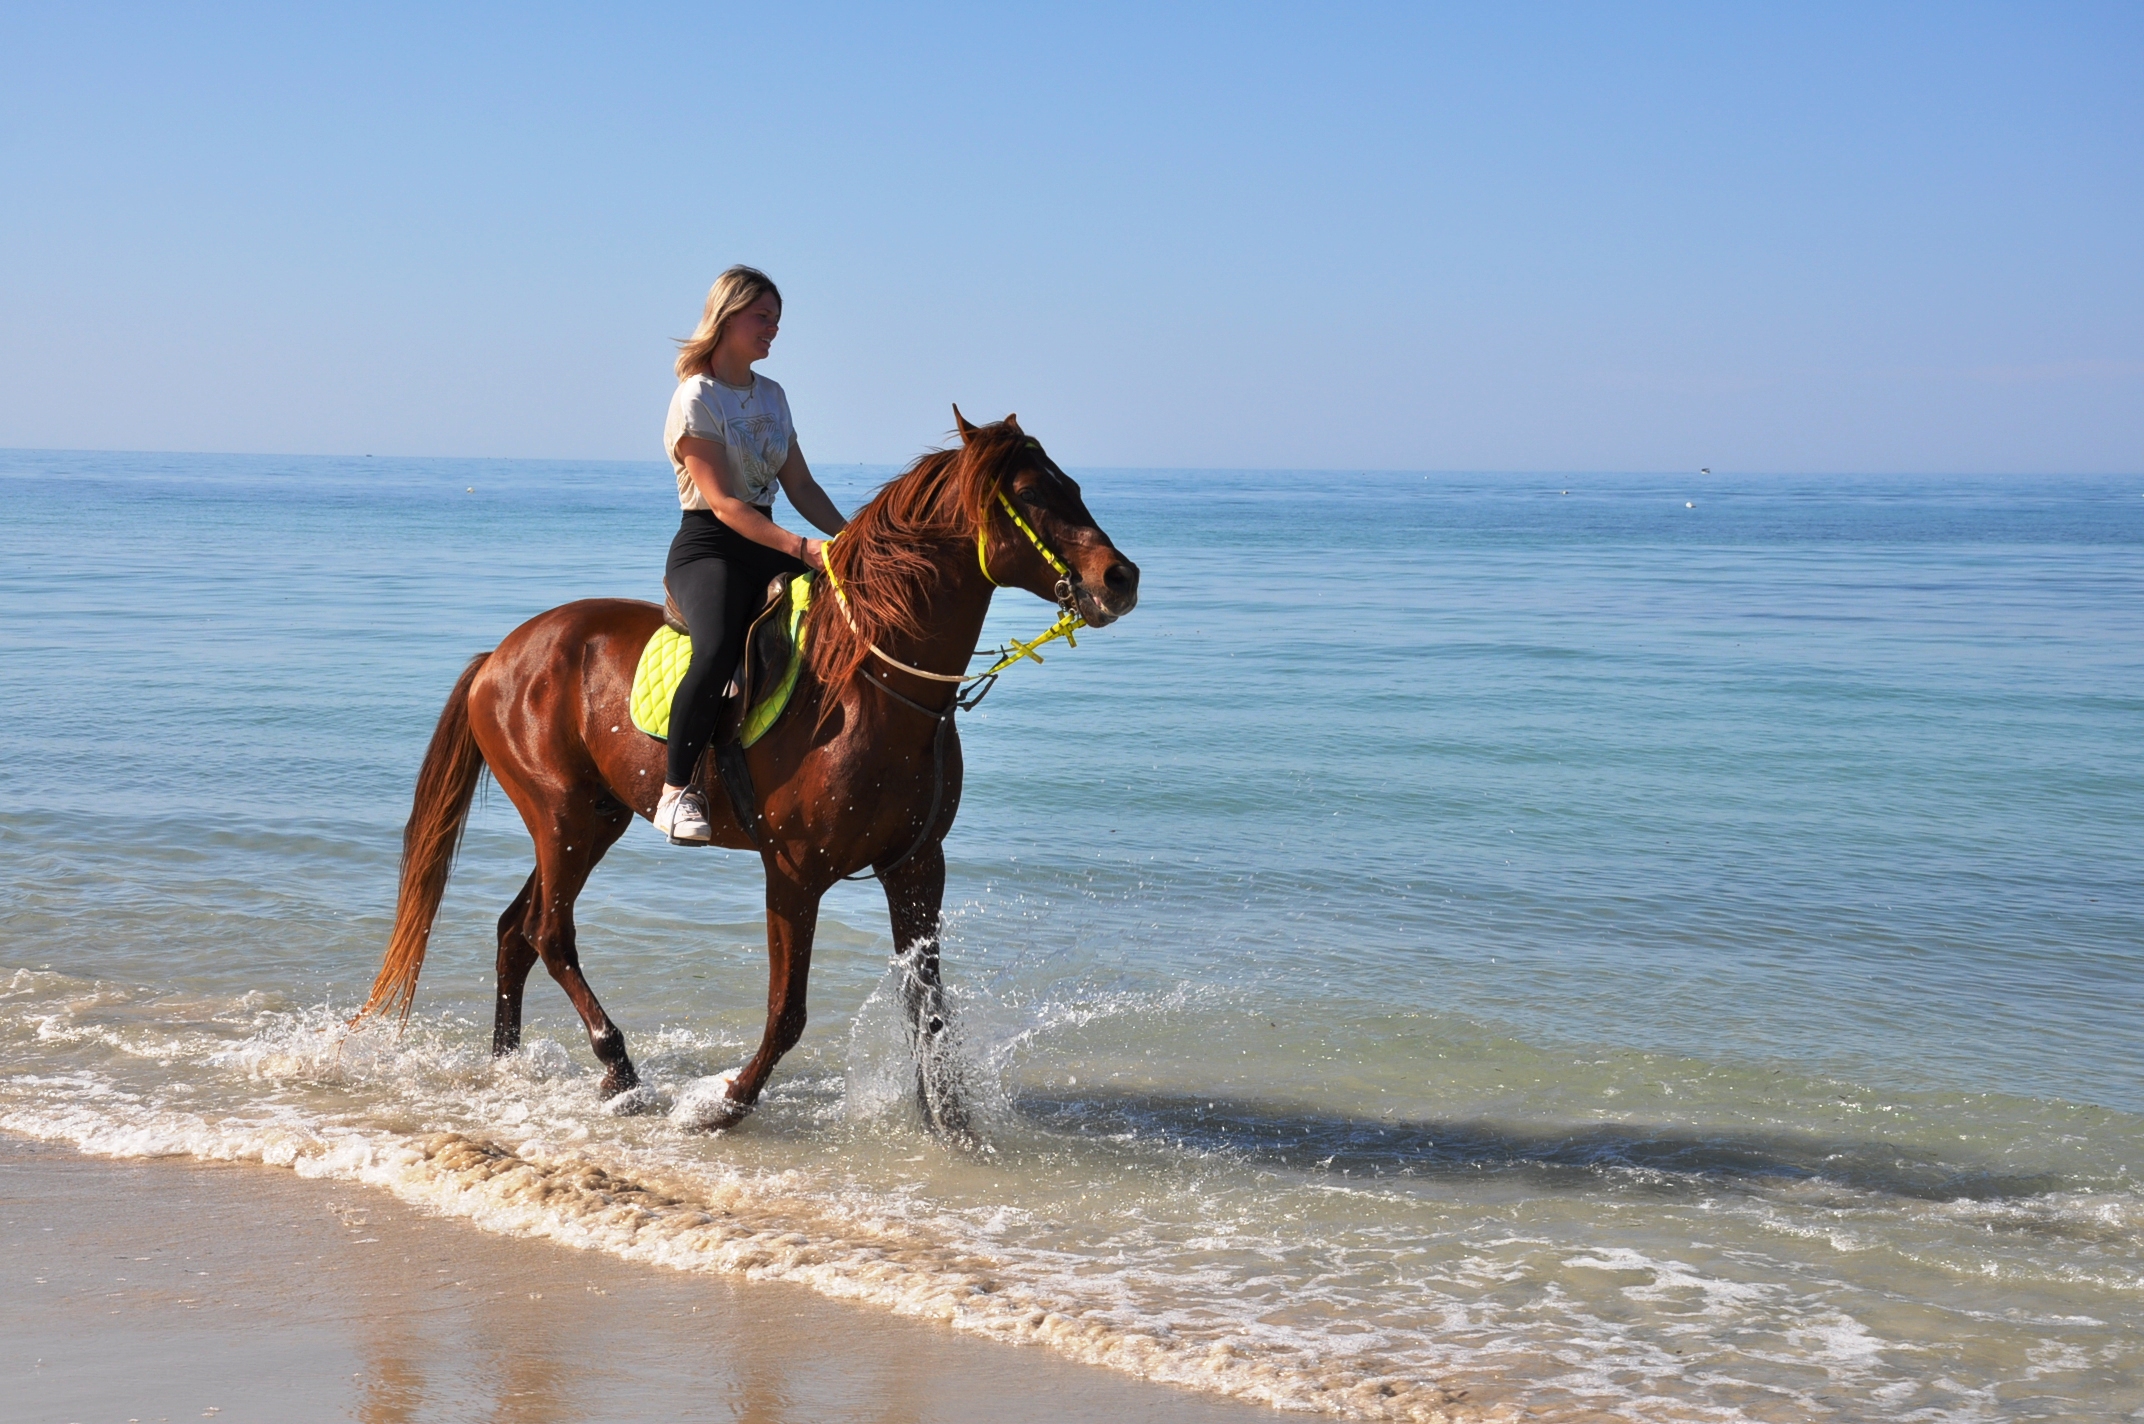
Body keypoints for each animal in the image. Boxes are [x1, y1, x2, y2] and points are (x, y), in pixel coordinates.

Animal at [351, 412, 1140, 1132]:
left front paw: (952, 1127)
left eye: (1072, 485)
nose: (1120, 578)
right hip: (562, 818)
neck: (872, 686)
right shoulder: (795, 872)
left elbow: (930, 1012)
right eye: (1033, 494)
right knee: (550, 934)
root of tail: (500, 657)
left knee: (516, 931)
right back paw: (619, 1067)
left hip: (594, 820)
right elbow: (787, 1011)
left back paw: (508, 1065)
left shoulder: (916, 865)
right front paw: (725, 1104)